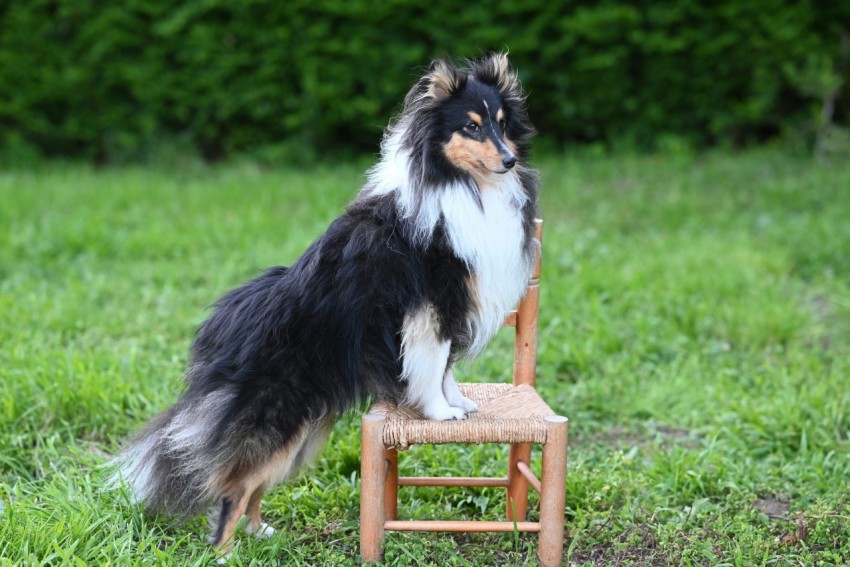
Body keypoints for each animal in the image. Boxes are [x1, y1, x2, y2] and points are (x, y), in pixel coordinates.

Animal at [112, 53, 536, 560]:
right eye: (471, 127)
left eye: (501, 123)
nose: (510, 159)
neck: (460, 184)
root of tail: (225, 328)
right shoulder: (430, 306)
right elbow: (433, 365)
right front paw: (438, 413)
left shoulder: (449, 310)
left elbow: (446, 367)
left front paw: (458, 403)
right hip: (280, 415)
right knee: (234, 484)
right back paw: (226, 552)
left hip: (304, 426)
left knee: (253, 483)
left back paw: (261, 532)